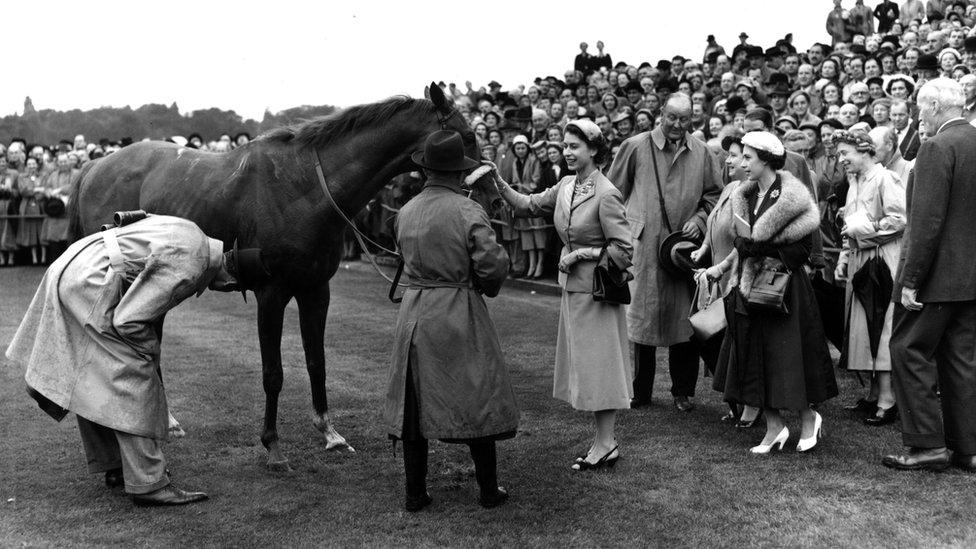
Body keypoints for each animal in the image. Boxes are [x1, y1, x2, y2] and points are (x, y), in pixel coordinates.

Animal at [70, 83, 488, 468]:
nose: (493, 195)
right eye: (467, 136)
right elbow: (273, 372)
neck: (303, 188)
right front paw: (272, 445)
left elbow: (316, 362)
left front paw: (330, 433)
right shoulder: (271, 294)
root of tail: (93, 167)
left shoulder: (315, 290)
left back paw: (164, 420)